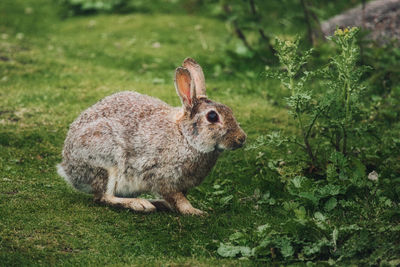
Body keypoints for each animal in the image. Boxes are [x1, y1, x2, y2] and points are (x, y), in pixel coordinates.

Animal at [55, 58, 244, 216]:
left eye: (229, 110)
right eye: (212, 117)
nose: (241, 138)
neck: (185, 136)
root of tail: (68, 168)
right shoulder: (164, 177)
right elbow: (177, 198)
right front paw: (194, 211)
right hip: (106, 160)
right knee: (103, 197)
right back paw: (140, 204)